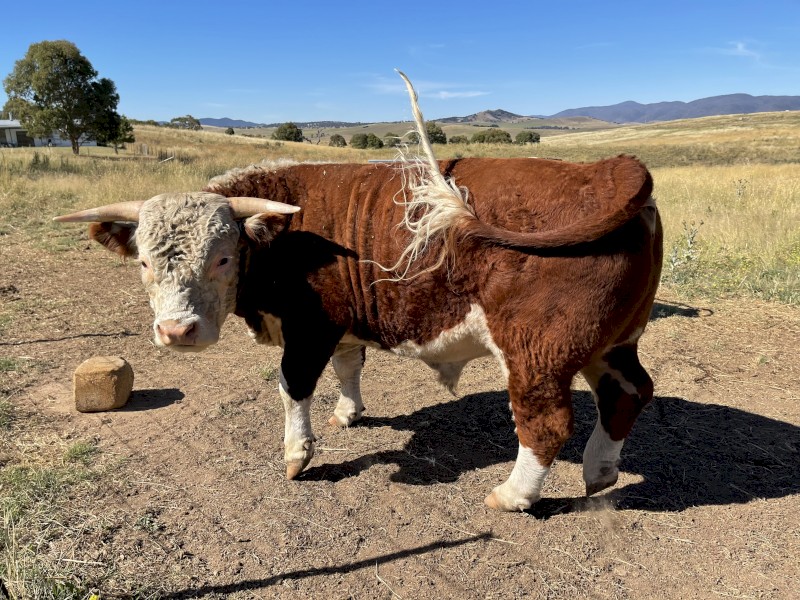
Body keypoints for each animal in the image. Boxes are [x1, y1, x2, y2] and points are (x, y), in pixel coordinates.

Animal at [56, 73, 662, 511]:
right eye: (144, 262)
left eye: (223, 257)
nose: (176, 330)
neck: (288, 233)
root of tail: (609, 170)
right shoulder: (342, 325)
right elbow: (349, 368)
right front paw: (348, 413)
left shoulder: (308, 329)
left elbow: (293, 387)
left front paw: (296, 454)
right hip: (612, 342)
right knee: (629, 393)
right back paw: (599, 472)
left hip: (537, 352)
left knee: (547, 421)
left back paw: (513, 495)